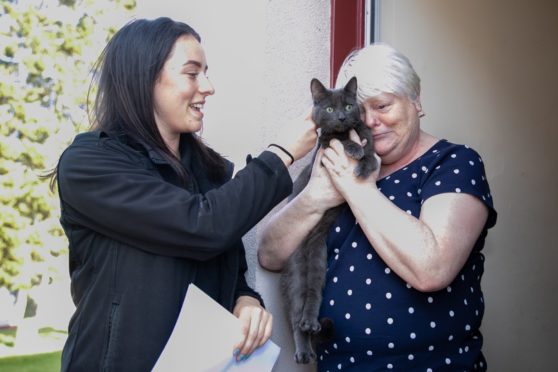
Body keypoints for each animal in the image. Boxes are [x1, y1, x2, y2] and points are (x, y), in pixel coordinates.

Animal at [282, 76, 378, 364]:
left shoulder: (369, 138)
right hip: (295, 270)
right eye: (328, 109)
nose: (342, 118)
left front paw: (362, 165)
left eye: (348, 106)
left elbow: (370, 151)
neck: (346, 131)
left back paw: (311, 324)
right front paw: (353, 149)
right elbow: (338, 142)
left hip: (318, 259)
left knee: (313, 296)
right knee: (295, 314)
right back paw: (303, 349)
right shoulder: (324, 148)